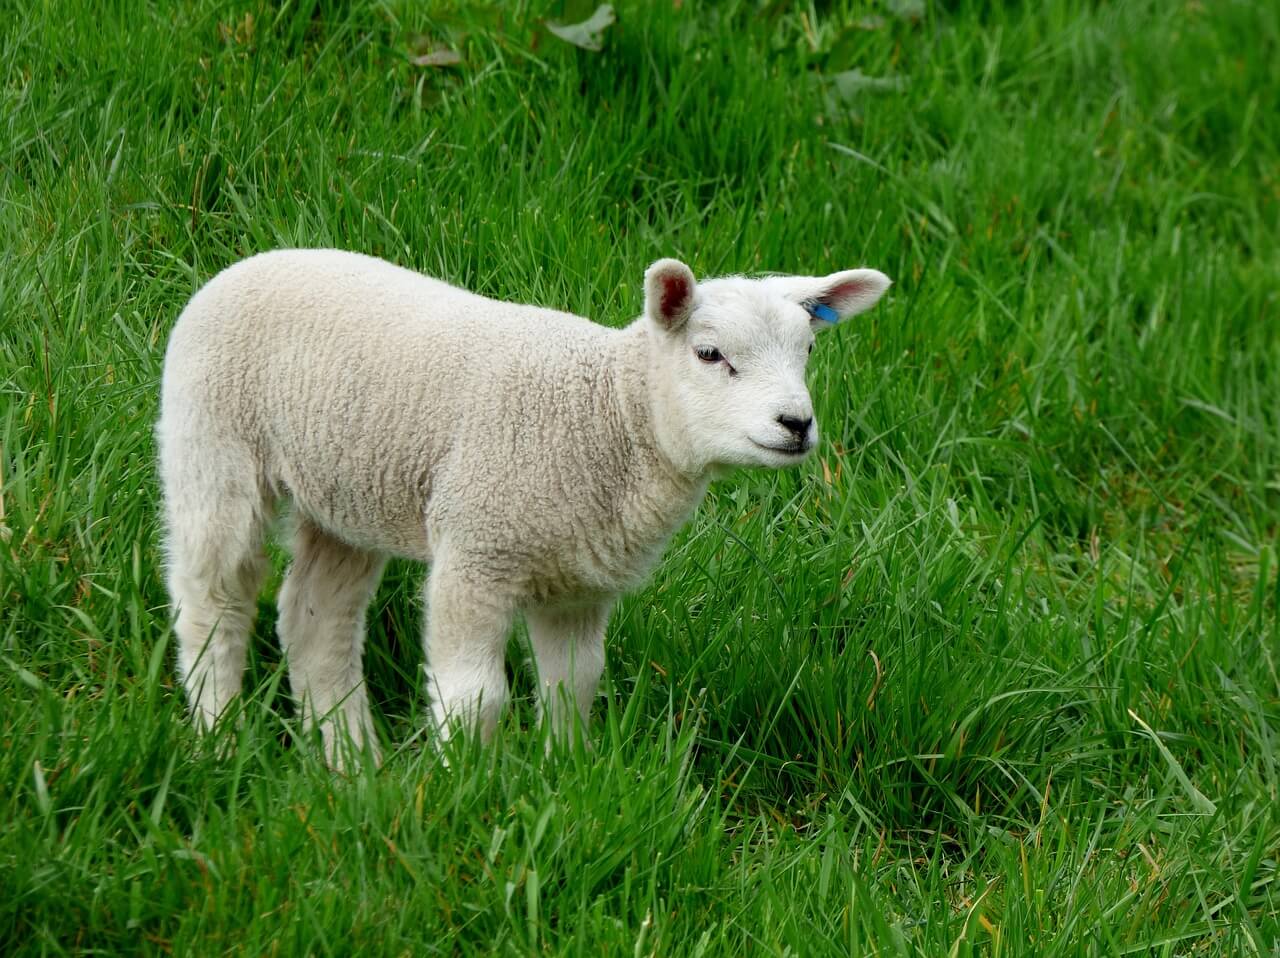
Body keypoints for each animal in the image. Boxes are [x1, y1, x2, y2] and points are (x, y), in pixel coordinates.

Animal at [157, 249, 890, 764]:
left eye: (809, 349)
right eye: (710, 354)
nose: (797, 424)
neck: (609, 413)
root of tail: (246, 263)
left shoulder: (578, 580)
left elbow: (574, 683)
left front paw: (565, 772)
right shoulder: (477, 547)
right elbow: (475, 697)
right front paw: (467, 786)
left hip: (343, 491)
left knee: (316, 619)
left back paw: (353, 763)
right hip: (213, 447)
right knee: (212, 602)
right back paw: (219, 738)